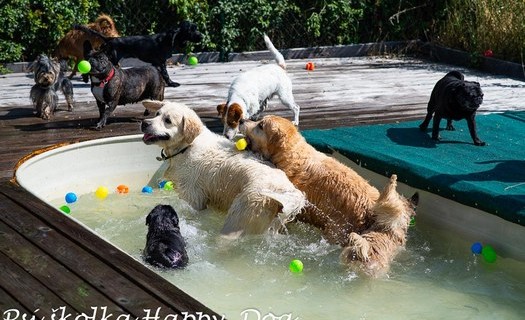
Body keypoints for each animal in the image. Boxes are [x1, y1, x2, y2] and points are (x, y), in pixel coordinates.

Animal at [74, 20, 202, 87]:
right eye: (191, 30)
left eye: (196, 28)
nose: (202, 36)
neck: (169, 38)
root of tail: (110, 39)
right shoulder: (161, 62)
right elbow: (165, 74)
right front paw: (172, 83)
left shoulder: (157, 63)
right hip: (111, 58)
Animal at [140, 100, 308, 238]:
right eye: (157, 114)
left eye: (167, 120)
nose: (144, 123)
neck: (186, 147)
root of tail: (285, 193)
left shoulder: (193, 199)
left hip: (239, 218)